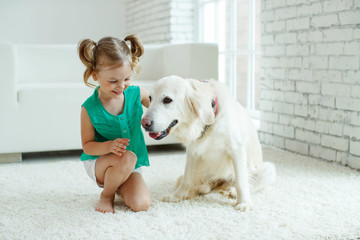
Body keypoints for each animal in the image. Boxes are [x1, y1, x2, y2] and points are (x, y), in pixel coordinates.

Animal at [141, 75, 276, 210]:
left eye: (167, 100)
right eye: (150, 98)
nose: (144, 123)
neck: (208, 121)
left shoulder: (236, 149)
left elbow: (241, 181)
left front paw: (244, 203)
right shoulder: (192, 151)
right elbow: (186, 178)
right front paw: (177, 196)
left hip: (269, 170)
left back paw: (231, 191)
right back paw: (202, 188)